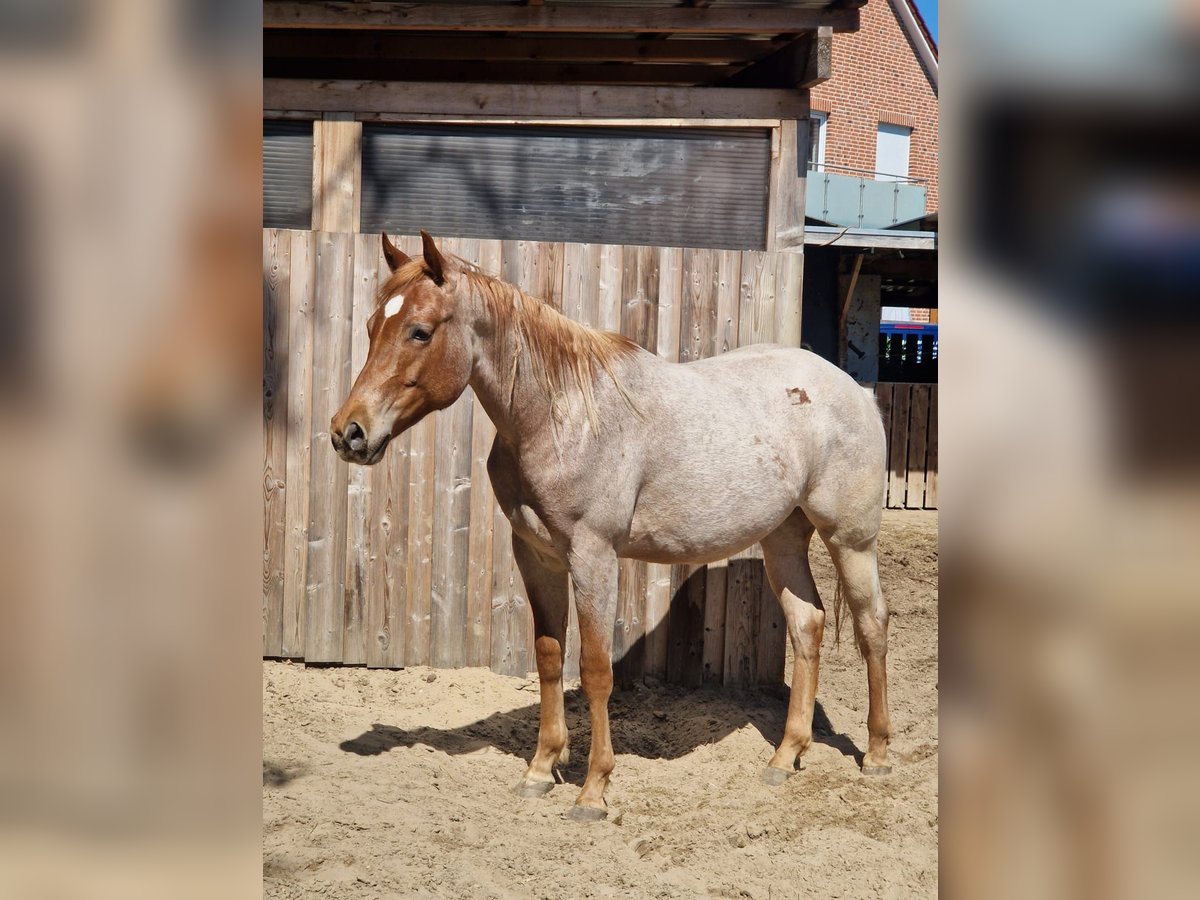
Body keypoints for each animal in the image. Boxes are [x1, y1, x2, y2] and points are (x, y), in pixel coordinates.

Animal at [331, 231, 892, 820]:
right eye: (371, 326)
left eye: (419, 331)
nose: (349, 432)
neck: (562, 415)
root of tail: (854, 390)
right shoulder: (536, 555)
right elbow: (550, 656)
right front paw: (541, 768)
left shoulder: (593, 555)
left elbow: (597, 668)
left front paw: (594, 789)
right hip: (782, 537)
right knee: (808, 624)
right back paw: (786, 756)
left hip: (851, 540)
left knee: (872, 626)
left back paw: (877, 754)